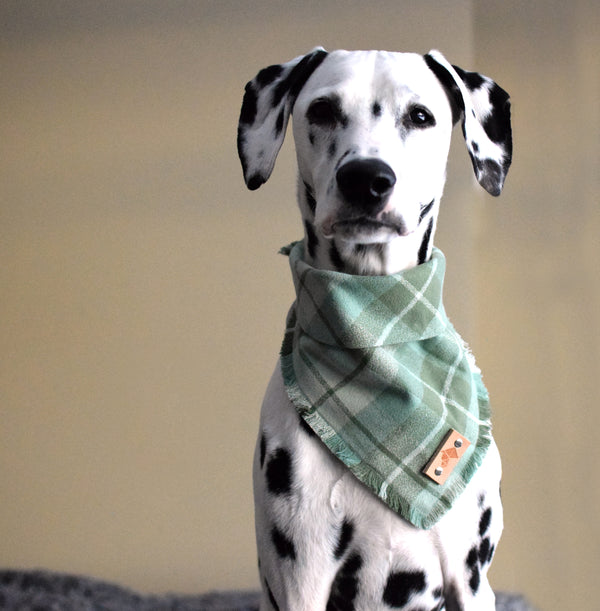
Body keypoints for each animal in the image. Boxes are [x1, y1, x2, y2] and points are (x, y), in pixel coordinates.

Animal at [237, 49, 508, 611]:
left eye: (421, 116)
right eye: (321, 110)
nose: (366, 178)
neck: (379, 331)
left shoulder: (472, 579)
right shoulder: (301, 576)